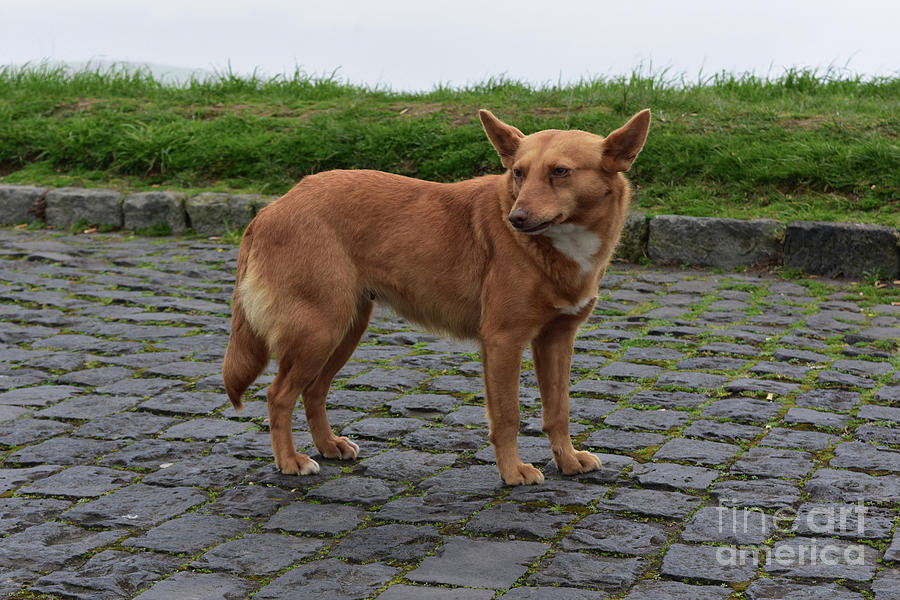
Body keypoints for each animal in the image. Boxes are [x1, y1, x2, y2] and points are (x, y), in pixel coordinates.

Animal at [223, 109, 648, 482]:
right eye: (518, 173)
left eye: (560, 172)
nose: (516, 219)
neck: (559, 246)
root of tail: (272, 208)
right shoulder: (503, 341)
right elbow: (507, 416)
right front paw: (513, 473)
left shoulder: (556, 340)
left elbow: (558, 411)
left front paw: (568, 461)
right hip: (319, 332)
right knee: (279, 395)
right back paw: (290, 461)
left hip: (343, 333)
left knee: (313, 392)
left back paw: (328, 446)